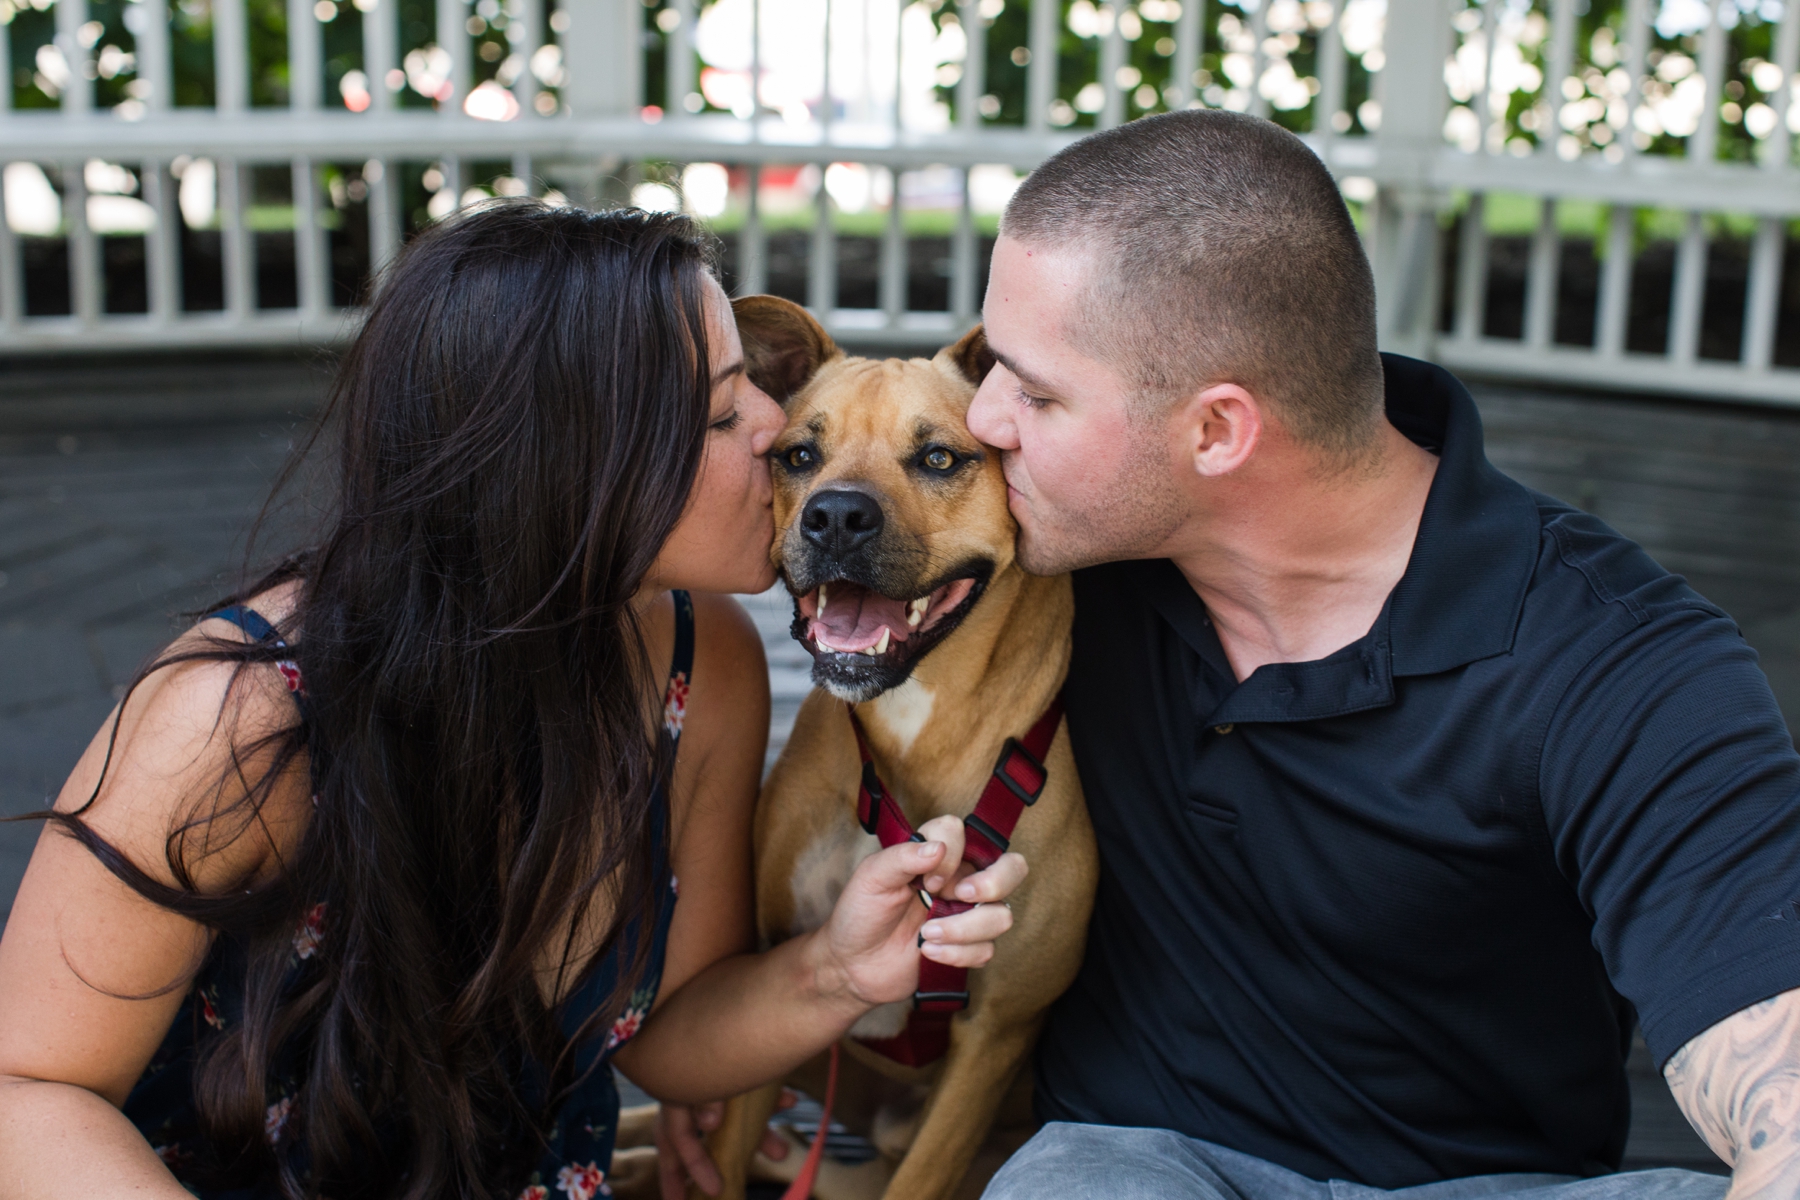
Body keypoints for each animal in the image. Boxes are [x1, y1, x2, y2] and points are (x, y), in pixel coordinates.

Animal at [687, 298, 1101, 1200]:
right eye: (799, 455)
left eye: (941, 457)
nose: (835, 516)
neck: (911, 720)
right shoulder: (776, 965)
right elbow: (727, 1150)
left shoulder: (993, 1038)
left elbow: (925, 1176)